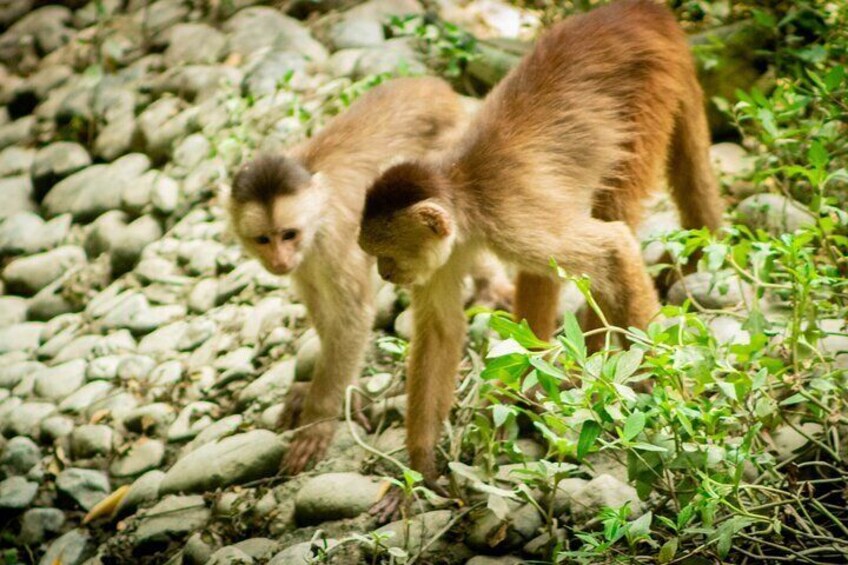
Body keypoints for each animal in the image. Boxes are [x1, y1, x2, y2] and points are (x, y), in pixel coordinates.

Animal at [222, 76, 510, 476]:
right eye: (263, 240)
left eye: (288, 234)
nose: (279, 260)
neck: (317, 214)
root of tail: (436, 86)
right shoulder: (306, 262)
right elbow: (327, 316)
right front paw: (343, 393)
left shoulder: (331, 243)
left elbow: (352, 317)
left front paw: (318, 418)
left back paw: (490, 284)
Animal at [356, 0, 724, 512]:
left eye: (385, 254)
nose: (385, 272)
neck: (464, 197)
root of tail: (639, 12)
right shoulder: (446, 251)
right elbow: (440, 331)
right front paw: (417, 468)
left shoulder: (508, 219)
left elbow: (613, 245)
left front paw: (672, 401)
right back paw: (533, 385)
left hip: (648, 84)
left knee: (613, 214)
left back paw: (591, 367)